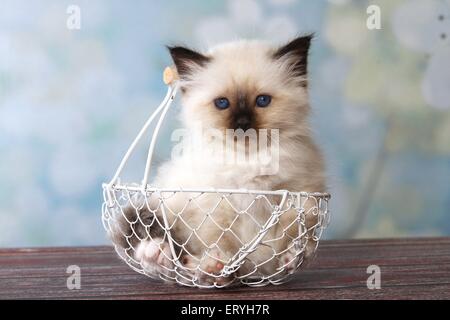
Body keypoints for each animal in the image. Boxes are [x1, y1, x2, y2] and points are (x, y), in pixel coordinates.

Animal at [110, 35, 326, 284]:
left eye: (262, 101)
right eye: (222, 103)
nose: (242, 123)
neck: (246, 160)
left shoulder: (298, 197)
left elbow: (289, 238)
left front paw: (291, 257)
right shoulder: (213, 209)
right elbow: (224, 246)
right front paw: (219, 268)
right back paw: (166, 257)